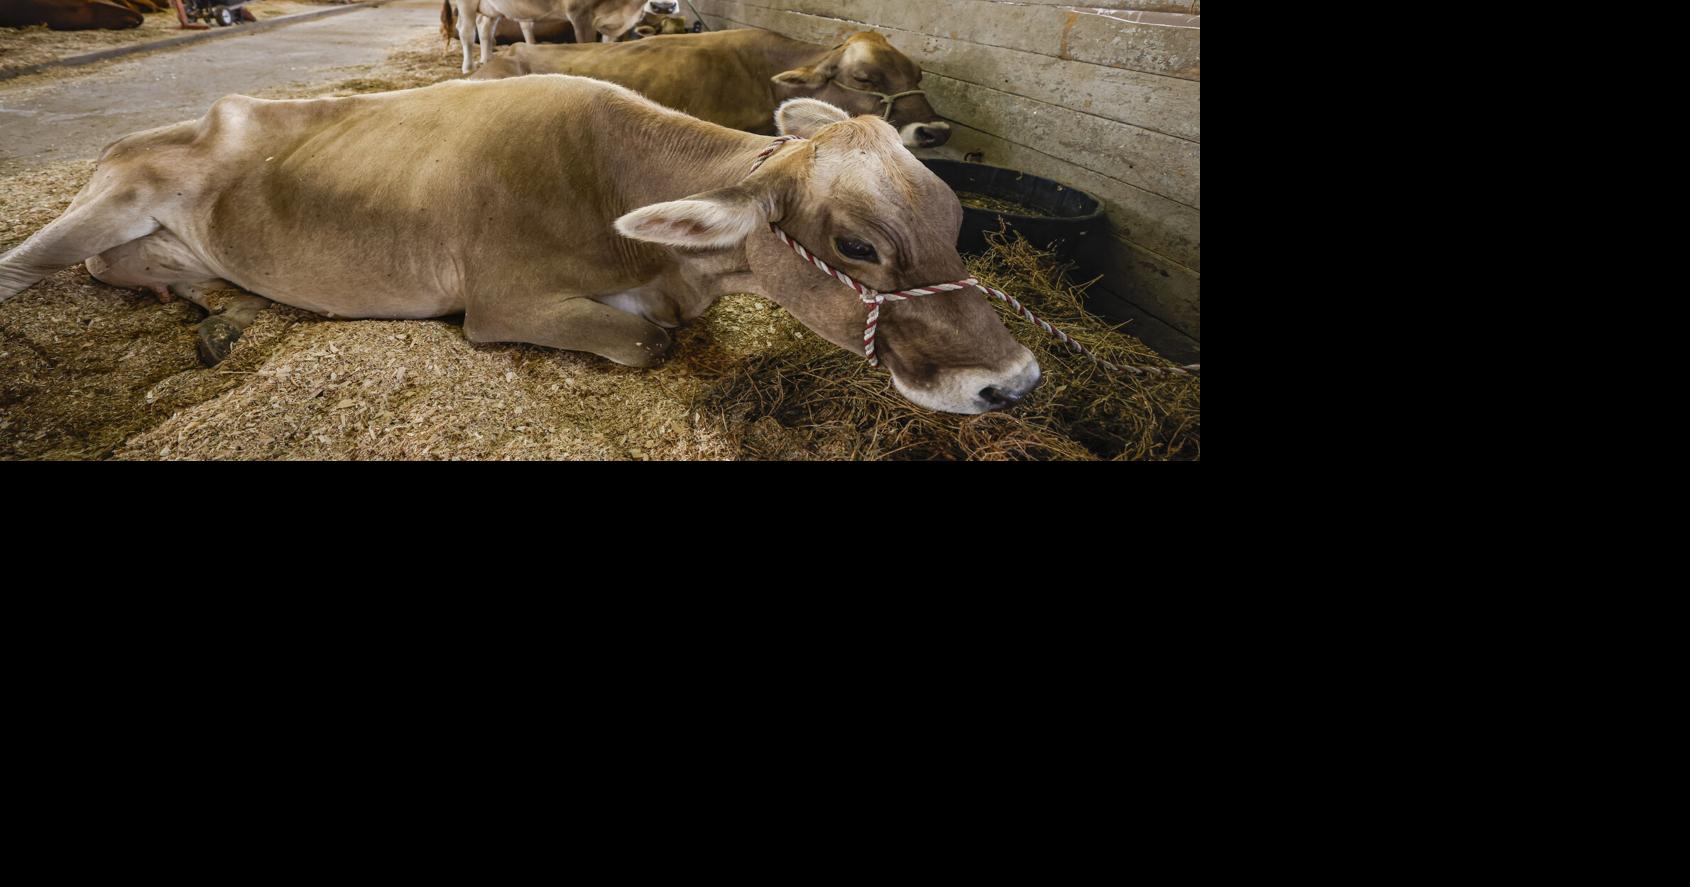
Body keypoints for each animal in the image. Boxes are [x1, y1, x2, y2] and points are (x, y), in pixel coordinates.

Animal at [0, 80, 1039, 414]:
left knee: (126, 268)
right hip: (109, 201)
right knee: (31, 266)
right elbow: (646, 340)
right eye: (857, 244)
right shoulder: (504, 305)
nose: (1016, 381)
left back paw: (210, 309)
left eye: (954, 218)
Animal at [442, 0, 678, 73]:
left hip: (491, 7)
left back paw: (487, 59)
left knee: (485, 27)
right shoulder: (581, 15)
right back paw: (468, 67)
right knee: (466, 30)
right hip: (466, 3)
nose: (664, 6)